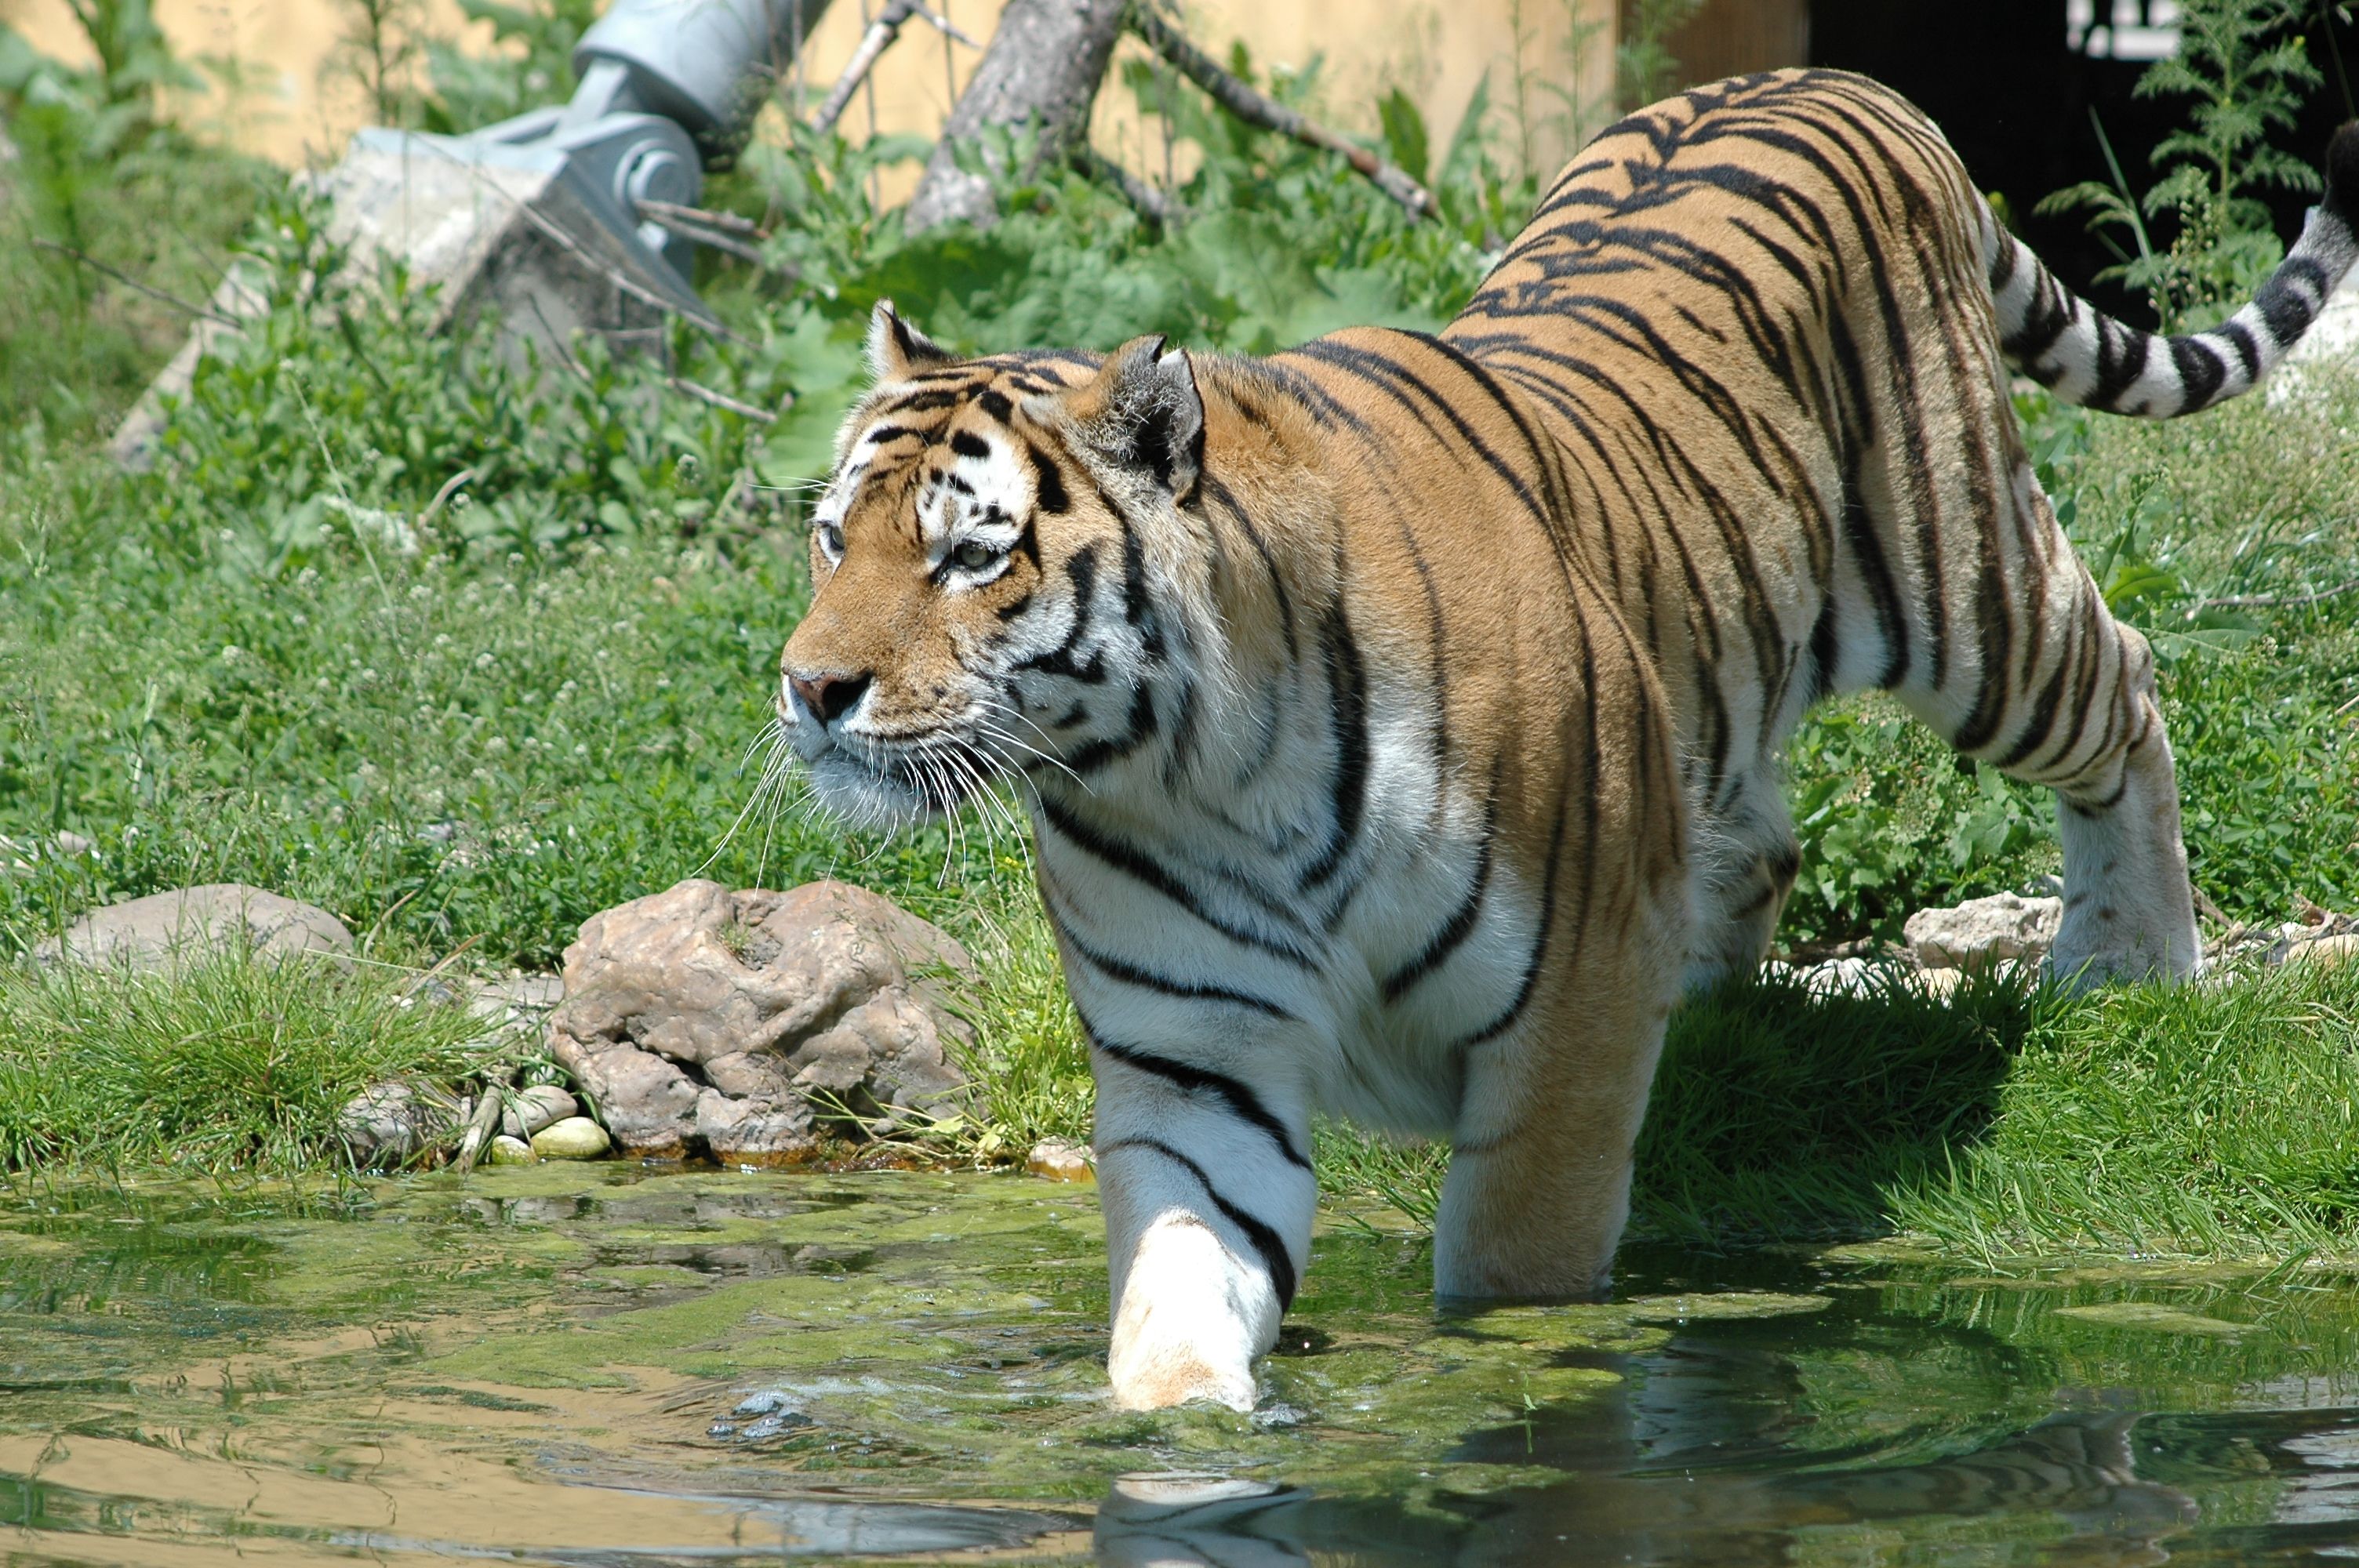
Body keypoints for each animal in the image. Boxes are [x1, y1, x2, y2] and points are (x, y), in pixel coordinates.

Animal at [777, 68, 2359, 1412]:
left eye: (970, 557)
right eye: (831, 539)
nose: (807, 689)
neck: (1195, 773)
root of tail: (1835, 79)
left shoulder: (1567, 1021)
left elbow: (1510, 1280)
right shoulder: (1195, 1061)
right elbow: (1179, 1299)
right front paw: (1182, 1432)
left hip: (1964, 603)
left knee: (2127, 684)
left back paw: (2127, 964)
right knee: (1760, 839)